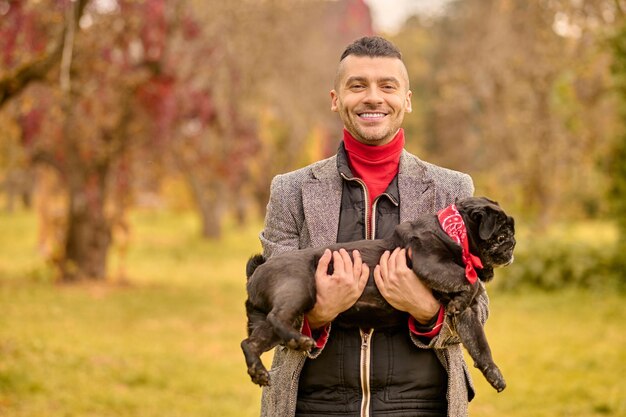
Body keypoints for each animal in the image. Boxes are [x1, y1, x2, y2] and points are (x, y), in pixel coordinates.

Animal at [239, 195, 512, 390]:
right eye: (501, 236)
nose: (512, 245)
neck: (453, 232)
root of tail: (257, 272)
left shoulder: (469, 317)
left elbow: (479, 344)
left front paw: (493, 372)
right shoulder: (431, 263)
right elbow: (470, 282)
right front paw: (463, 294)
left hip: (269, 324)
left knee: (250, 343)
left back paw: (258, 371)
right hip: (298, 290)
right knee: (277, 318)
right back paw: (299, 340)